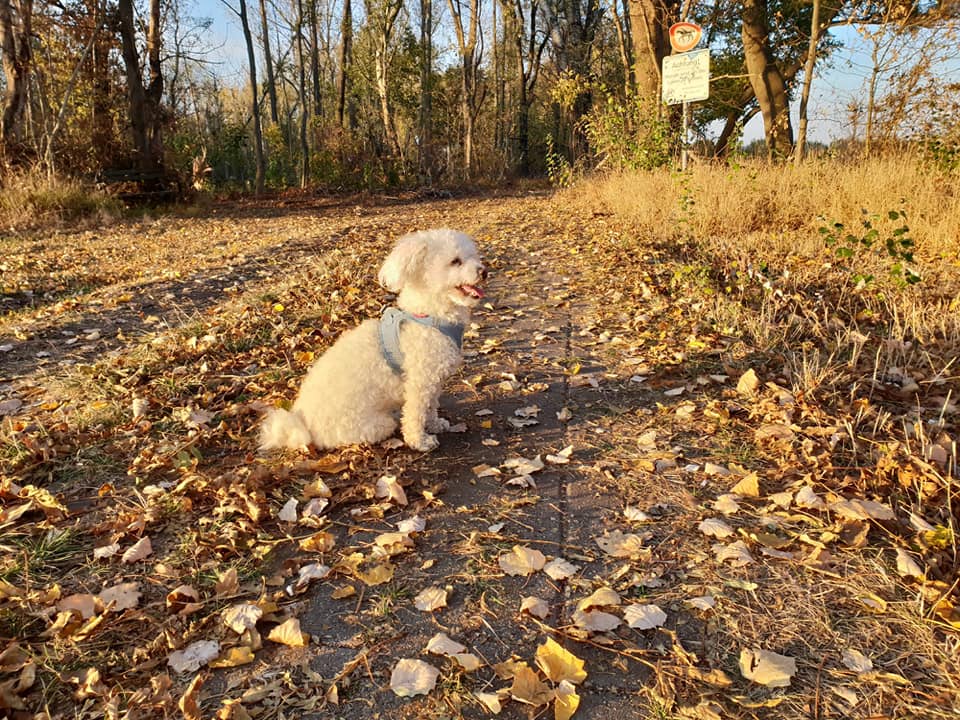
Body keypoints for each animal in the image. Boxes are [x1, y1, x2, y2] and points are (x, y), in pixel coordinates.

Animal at [258, 228, 488, 452]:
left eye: (473, 256)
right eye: (455, 261)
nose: (484, 271)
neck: (429, 315)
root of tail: (304, 427)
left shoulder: (433, 381)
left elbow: (431, 407)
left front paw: (434, 424)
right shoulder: (419, 383)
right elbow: (416, 414)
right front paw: (420, 441)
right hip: (377, 425)